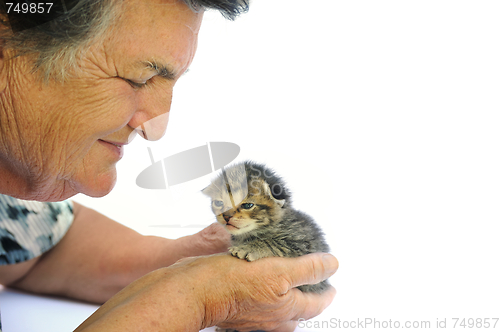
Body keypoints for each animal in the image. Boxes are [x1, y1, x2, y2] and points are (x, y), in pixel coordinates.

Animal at [201, 161, 330, 294]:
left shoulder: (305, 242)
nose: (226, 216)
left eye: (248, 205)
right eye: (219, 203)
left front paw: (248, 248)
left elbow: (273, 242)